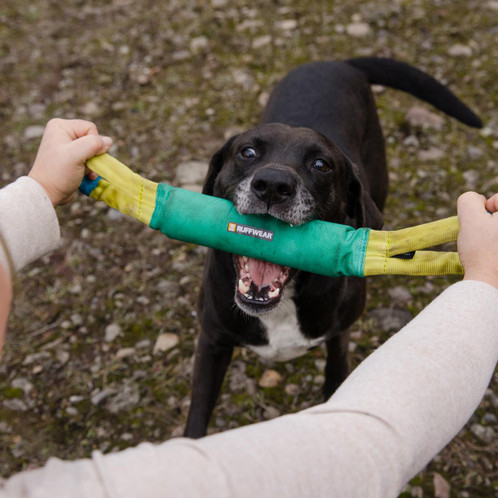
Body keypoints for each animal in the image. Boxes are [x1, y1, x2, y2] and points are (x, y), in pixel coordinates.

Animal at [184, 59, 482, 440]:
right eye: (247, 152)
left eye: (321, 165)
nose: (273, 185)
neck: (281, 306)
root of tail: (340, 61)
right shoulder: (212, 341)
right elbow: (196, 420)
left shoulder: (339, 336)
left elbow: (336, 377)